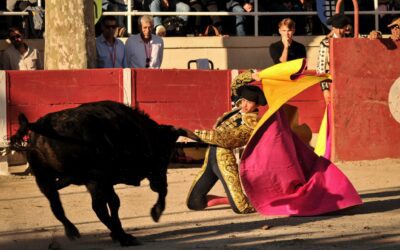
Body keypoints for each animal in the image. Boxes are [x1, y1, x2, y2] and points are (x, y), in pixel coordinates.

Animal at [9, 100, 197, 246]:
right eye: (165, 153)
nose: (158, 181)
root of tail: (41, 126)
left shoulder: (104, 180)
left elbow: (114, 202)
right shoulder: (102, 178)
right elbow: (115, 202)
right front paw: (155, 212)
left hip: (46, 177)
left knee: (56, 205)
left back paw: (73, 230)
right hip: (93, 178)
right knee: (97, 207)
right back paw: (124, 237)